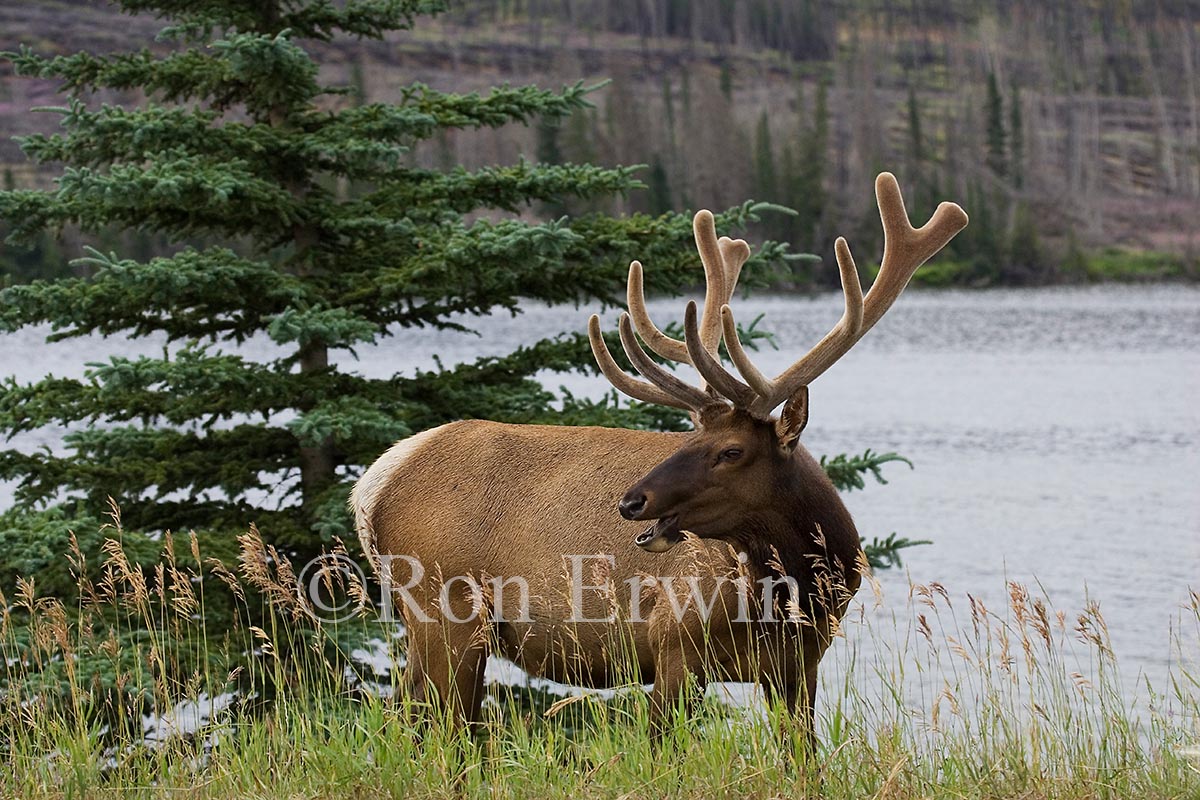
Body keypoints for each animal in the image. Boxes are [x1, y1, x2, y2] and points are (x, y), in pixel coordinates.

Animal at [351, 173, 967, 746]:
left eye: (730, 450)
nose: (631, 500)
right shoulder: (674, 645)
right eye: (686, 440)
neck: (797, 589)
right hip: (447, 610)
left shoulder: (801, 665)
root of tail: (373, 484)